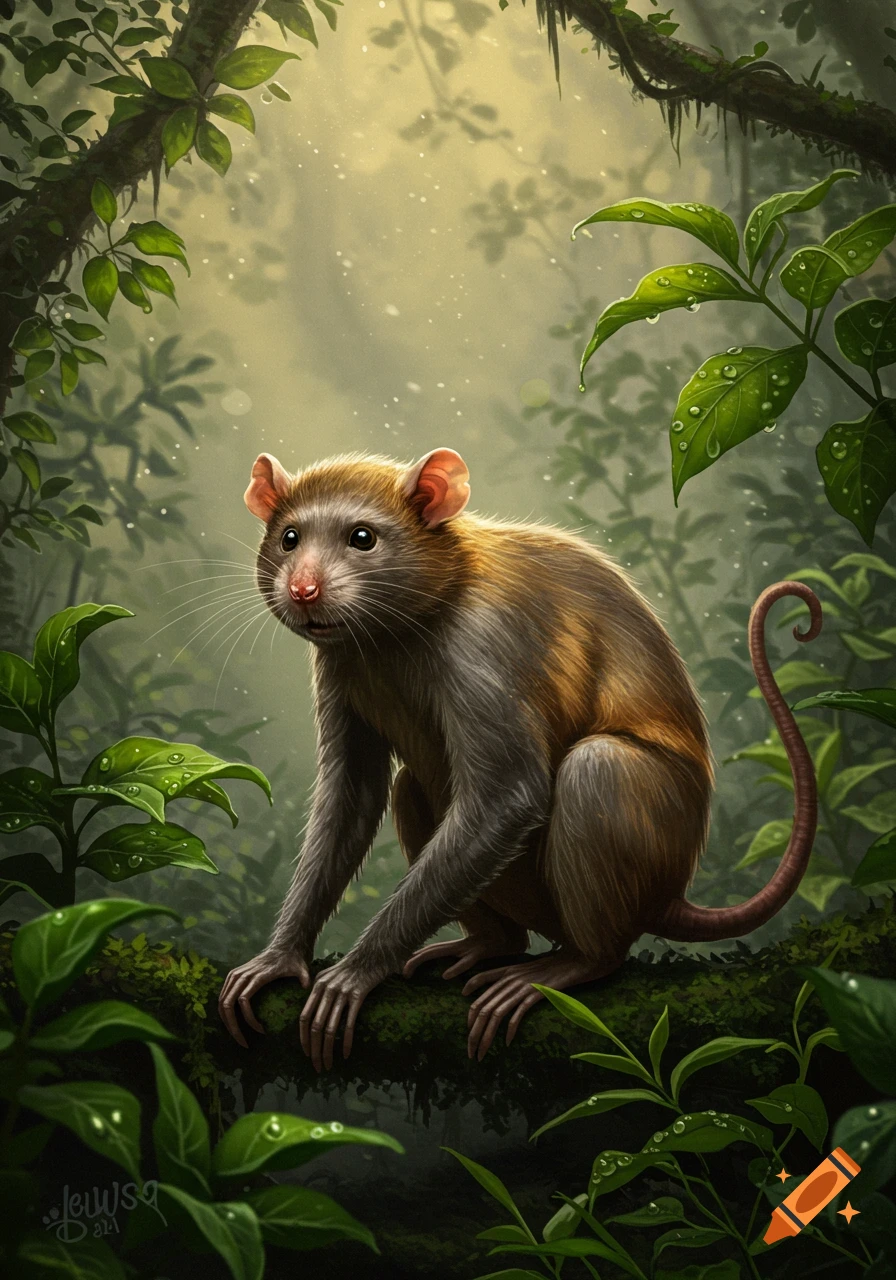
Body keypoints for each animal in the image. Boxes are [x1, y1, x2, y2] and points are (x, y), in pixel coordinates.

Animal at [218, 446, 822, 1071]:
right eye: (289, 537)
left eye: (362, 537)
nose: (303, 590)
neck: (395, 632)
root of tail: (670, 894)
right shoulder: (337, 666)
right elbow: (351, 802)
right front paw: (280, 956)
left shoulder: (483, 647)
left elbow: (507, 797)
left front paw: (355, 973)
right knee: (412, 791)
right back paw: (487, 943)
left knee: (594, 773)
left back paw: (566, 964)